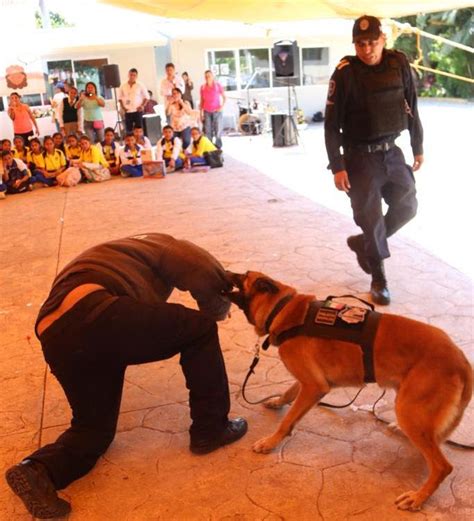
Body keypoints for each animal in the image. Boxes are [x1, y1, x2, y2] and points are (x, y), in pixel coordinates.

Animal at [228, 270, 472, 510]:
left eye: (243, 276)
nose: (227, 272)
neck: (285, 309)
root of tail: (462, 360)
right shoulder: (309, 382)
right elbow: (289, 392)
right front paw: (278, 401)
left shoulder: (314, 387)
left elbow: (287, 420)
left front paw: (270, 442)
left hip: (408, 409)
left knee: (442, 466)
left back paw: (418, 497)